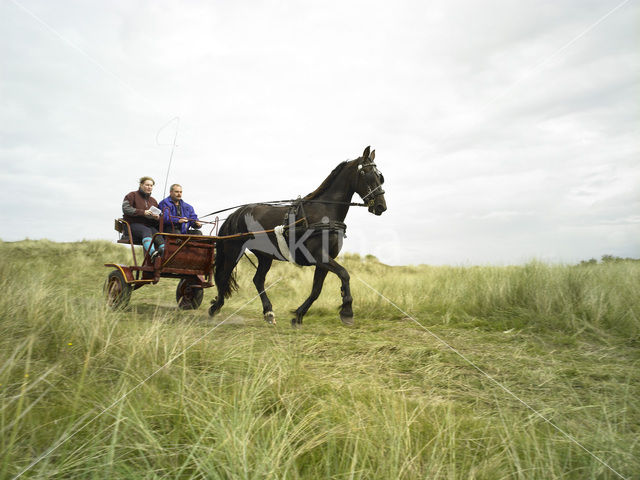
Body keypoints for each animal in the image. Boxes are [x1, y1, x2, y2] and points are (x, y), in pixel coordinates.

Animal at [210, 146, 388, 326]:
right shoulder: (319, 256)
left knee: (258, 280)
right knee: (224, 276)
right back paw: (216, 307)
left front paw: (299, 315)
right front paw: (347, 310)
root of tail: (236, 213)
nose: (381, 206)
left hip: (265, 256)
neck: (324, 212)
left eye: (380, 177)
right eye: (366, 173)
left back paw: (268, 311)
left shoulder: (325, 259)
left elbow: (316, 290)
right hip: (234, 251)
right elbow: (344, 274)